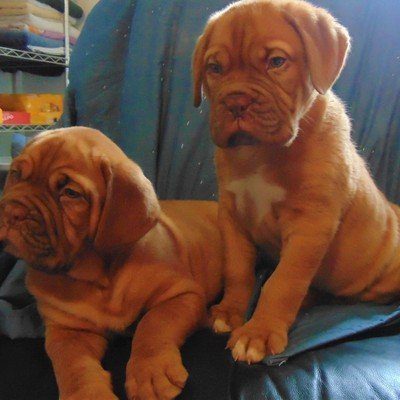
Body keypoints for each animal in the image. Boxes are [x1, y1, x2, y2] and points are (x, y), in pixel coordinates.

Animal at [0, 127, 223, 400]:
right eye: (15, 174)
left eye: (70, 193)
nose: (12, 212)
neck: (99, 279)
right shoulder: (68, 330)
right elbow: (72, 362)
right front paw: (87, 393)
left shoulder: (182, 294)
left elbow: (154, 324)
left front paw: (151, 371)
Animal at [192, 0, 400, 362]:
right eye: (214, 68)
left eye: (277, 62)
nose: (235, 102)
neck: (261, 154)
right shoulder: (232, 215)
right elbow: (238, 269)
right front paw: (230, 312)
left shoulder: (310, 226)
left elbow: (284, 281)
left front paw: (259, 332)